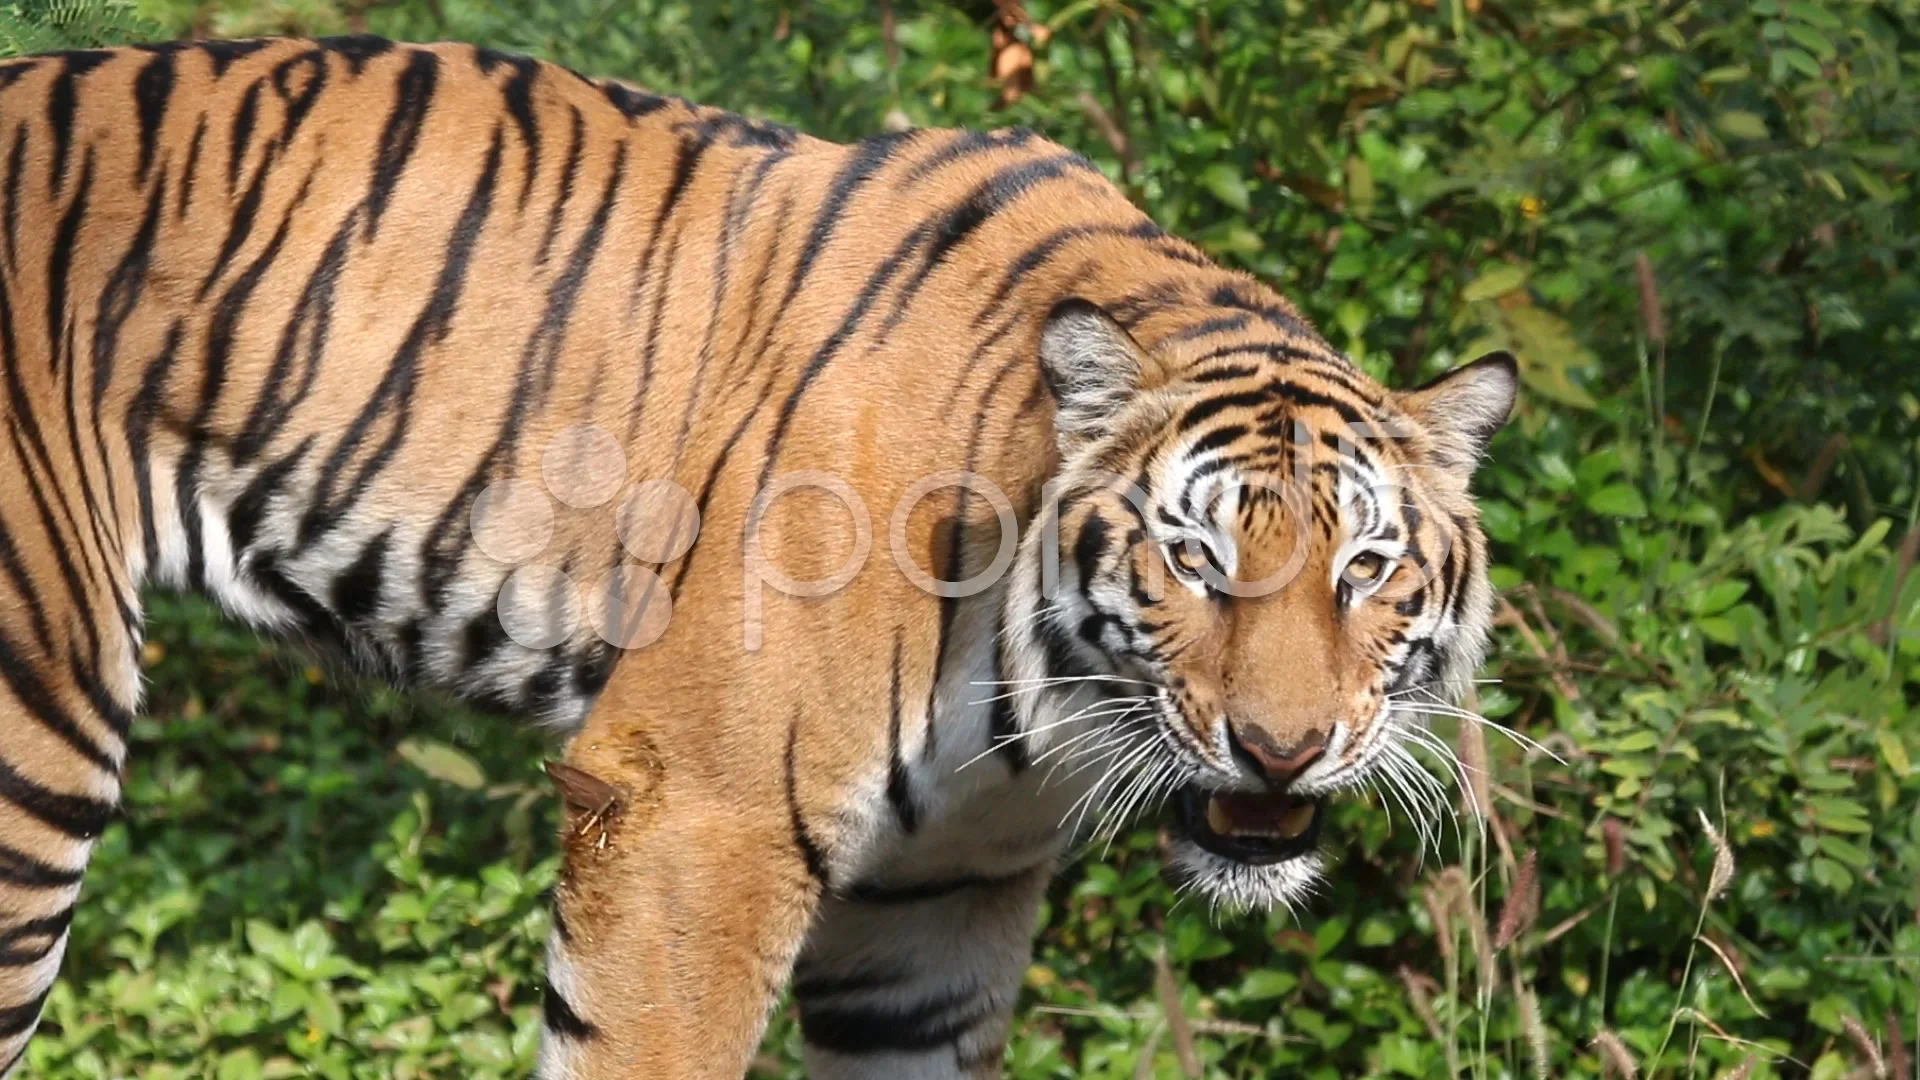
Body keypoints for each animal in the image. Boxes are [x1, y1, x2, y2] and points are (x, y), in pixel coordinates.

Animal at [0, 34, 1516, 1079]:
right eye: (1195, 561)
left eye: (1363, 570)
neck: (1038, 712)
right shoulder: (693, 816)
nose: (1282, 751)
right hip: (37, 730)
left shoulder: (938, 900)